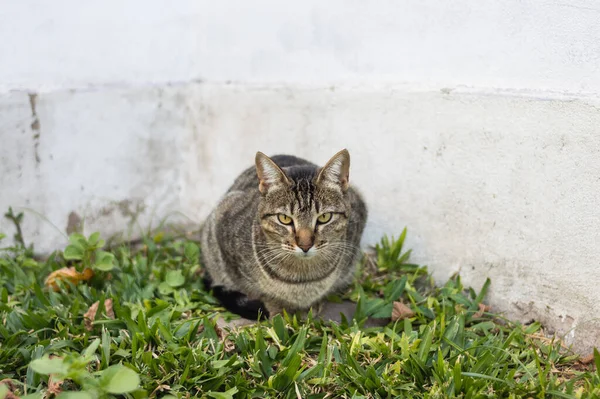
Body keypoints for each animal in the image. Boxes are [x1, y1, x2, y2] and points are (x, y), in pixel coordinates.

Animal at [200, 149, 366, 318]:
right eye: (284, 219)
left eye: (324, 217)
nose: (305, 245)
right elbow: (257, 291)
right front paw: (276, 309)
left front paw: (311, 306)